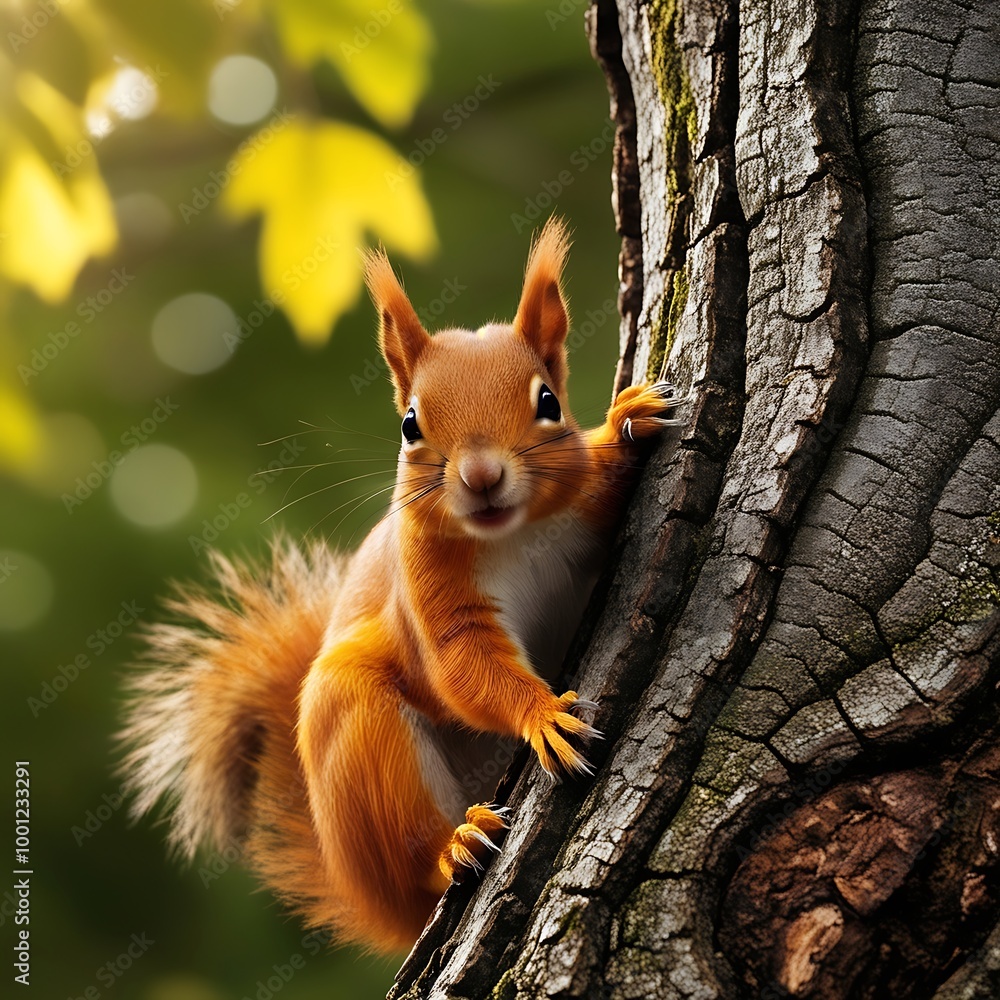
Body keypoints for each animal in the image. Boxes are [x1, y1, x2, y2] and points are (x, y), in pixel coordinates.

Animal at [119, 216, 679, 955]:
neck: (514, 533)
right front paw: (543, 715)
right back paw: (455, 845)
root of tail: (376, 901)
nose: (480, 476)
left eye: (549, 403)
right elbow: (462, 666)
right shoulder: (427, 591)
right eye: (410, 424)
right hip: (361, 744)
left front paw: (632, 419)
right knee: (417, 854)